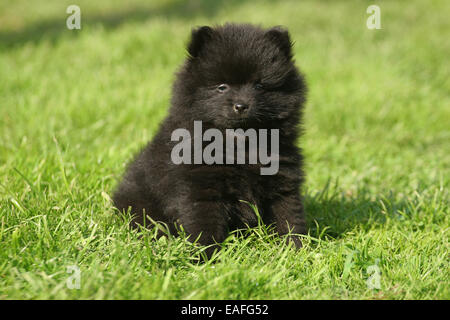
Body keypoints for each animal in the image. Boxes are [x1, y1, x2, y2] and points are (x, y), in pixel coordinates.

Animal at [114, 23, 308, 258]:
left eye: (259, 86)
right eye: (221, 87)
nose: (241, 105)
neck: (240, 146)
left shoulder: (282, 179)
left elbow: (288, 216)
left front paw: (295, 250)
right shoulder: (201, 187)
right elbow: (204, 223)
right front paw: (205, 256)